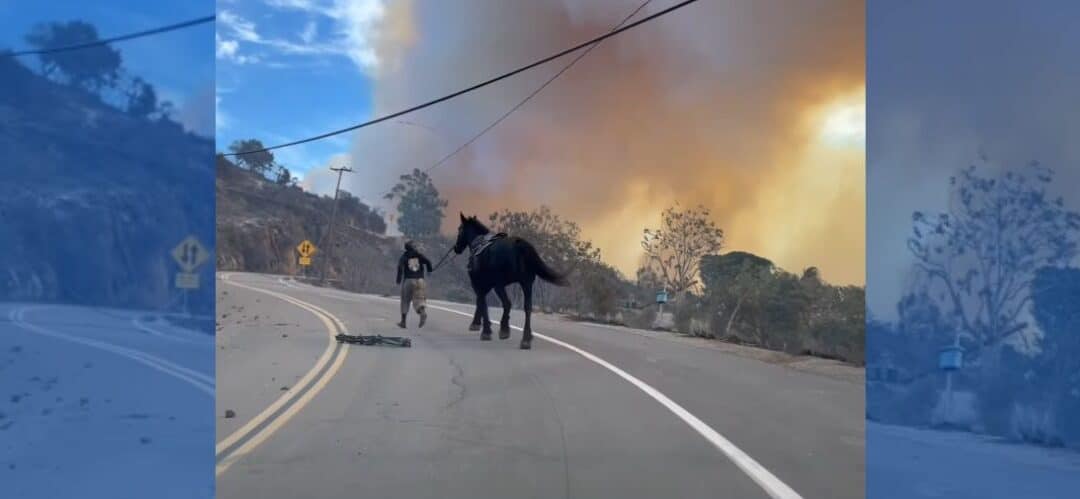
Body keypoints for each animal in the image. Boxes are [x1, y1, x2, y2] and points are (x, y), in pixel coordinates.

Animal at [453, 212, 570, 349]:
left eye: (459, 229)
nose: (456, 248)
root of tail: (519, 245)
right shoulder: (487, 285)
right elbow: (481, 301)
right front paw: (477, 324)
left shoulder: (479, 283)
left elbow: (482, 302)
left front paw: (485, 330)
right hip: (526, 283)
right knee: (527, 307)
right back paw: (526, 338)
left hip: (500, 285)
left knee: (507, 303)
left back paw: (505, 330)